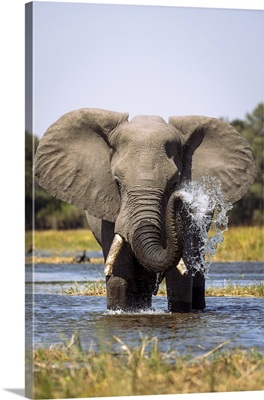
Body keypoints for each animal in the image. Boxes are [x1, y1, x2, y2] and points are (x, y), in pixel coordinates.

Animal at [34, 108, 256, 312]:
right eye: (117, 183)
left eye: (174, 182)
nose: (182, 196)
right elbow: (120, 271)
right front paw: (119, 311)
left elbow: (180, 276)